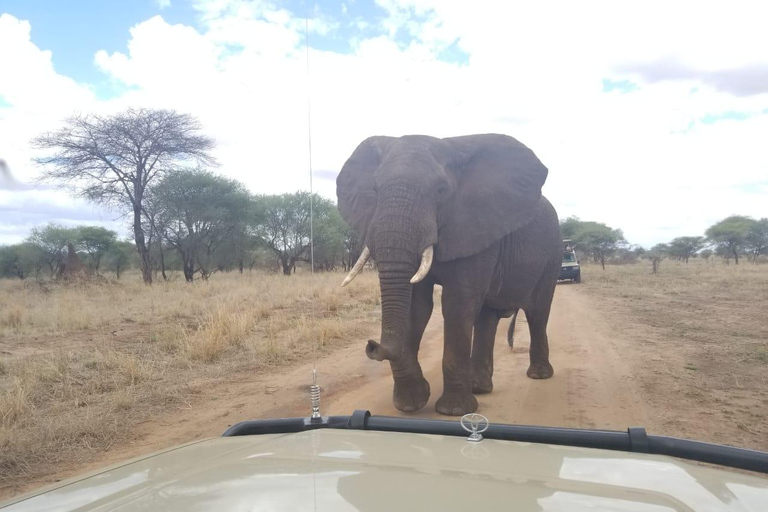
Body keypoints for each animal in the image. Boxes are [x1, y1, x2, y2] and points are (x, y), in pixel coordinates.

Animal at [336, 135, 560, 416]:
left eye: (441, 190)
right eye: (375, 189)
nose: (372, 345)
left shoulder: (474, 225)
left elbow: (458, 304)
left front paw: (453, 411)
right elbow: (416, 307)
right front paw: (410, 404)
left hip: (552, 252)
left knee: (538, 311)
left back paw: (538, 376)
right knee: (487, 317)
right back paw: (479, 388)